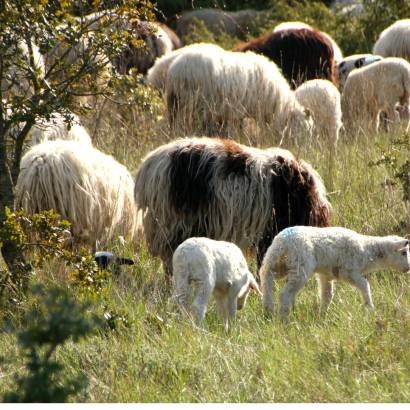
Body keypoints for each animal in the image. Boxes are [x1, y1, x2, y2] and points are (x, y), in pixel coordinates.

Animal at [260, 226, 410, 322]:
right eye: (404, 252)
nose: (408, 268)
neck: (367, 251)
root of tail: (283, 242)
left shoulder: (326, 275)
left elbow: (327, 295)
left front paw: (322, 315)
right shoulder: (348, 271)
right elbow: (365, 285)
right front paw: (370, 307)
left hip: (278, 262)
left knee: (266, 278)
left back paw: (269, 310)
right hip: (299, 265)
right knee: (284, 293)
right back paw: (284, 318)